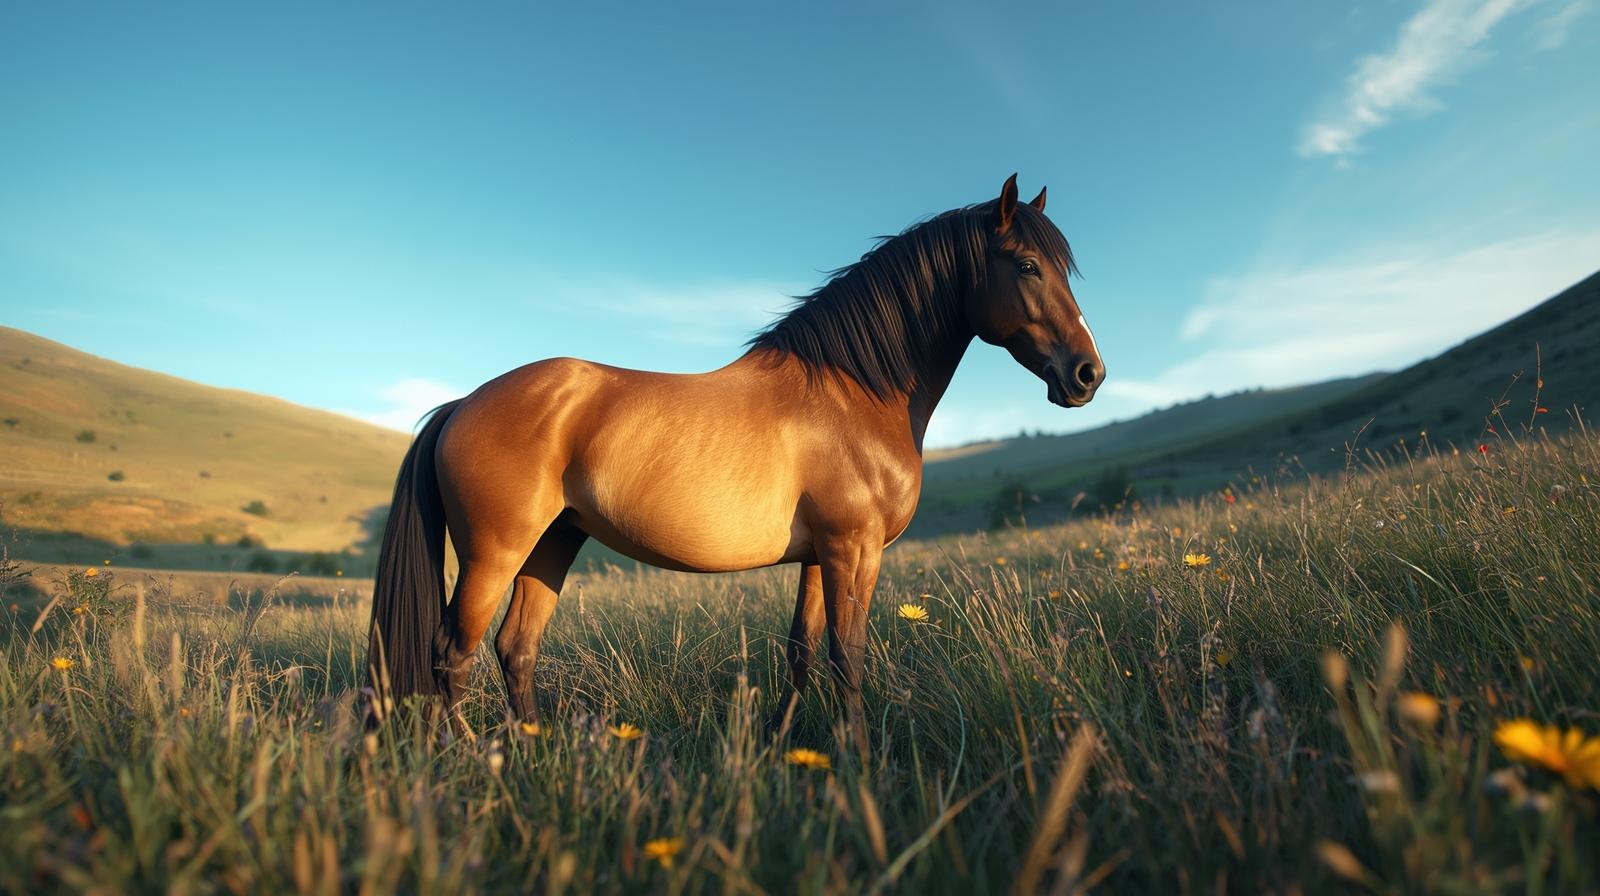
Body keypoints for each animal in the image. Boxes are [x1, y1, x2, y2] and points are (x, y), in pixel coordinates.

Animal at [366, 174, 1105, 756]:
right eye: (1026, 265)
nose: (1087, 374)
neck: (852, 393)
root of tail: (463, 403)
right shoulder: (854, 549)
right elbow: (849, 657)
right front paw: (860, 762)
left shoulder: (821, 556)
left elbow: (803, 651)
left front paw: (781, 746)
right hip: (495, 553)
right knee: (451, 656)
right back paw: (477, 760)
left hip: (553, 543)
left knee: (516, 649)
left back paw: (534, 753)